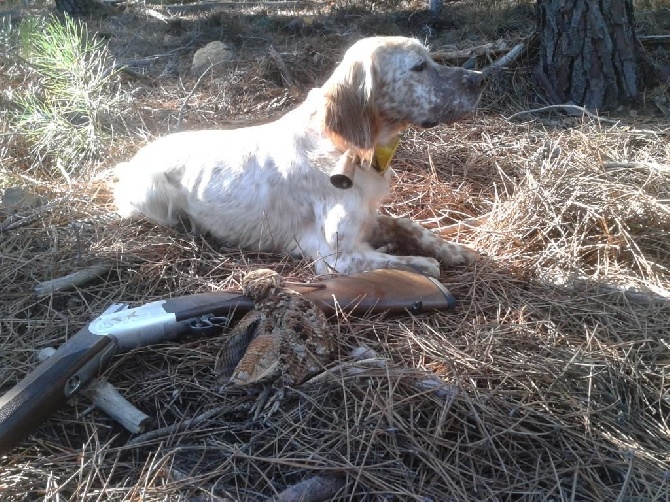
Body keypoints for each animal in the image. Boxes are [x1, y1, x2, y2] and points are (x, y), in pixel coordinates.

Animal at [113, 37, 486, 276]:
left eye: (431, 59)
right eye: (419, 67)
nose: (480, 79)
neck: (346, 149)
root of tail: (134, 159)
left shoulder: (368, 216)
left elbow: (410, 226)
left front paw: (455, 250)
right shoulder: (336, 258)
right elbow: (407, 262)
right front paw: (422, 262)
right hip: (153, 194)